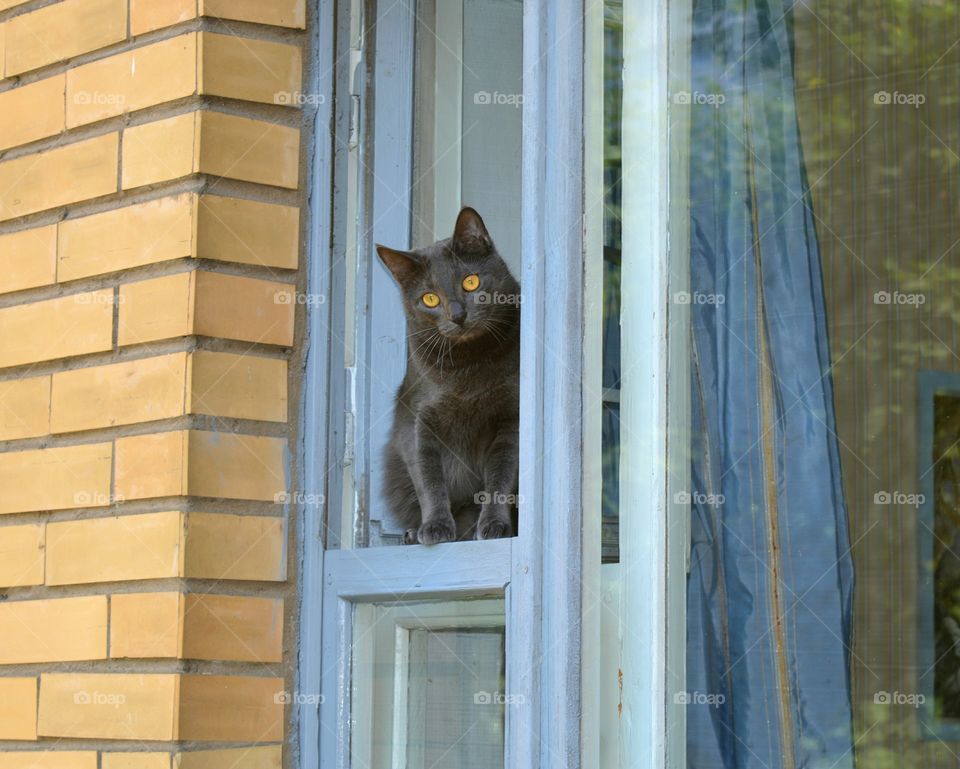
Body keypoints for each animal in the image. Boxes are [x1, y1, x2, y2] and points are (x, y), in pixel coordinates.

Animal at [376, 207, 520, 544]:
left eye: (471, 282)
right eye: (430, 299)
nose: (458, 315)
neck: (468, 366)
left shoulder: (512, 417)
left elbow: (502, 474)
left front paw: (494, 526)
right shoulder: (417, 420)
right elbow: (428, 477)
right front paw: (435, 527)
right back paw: (414, 532)